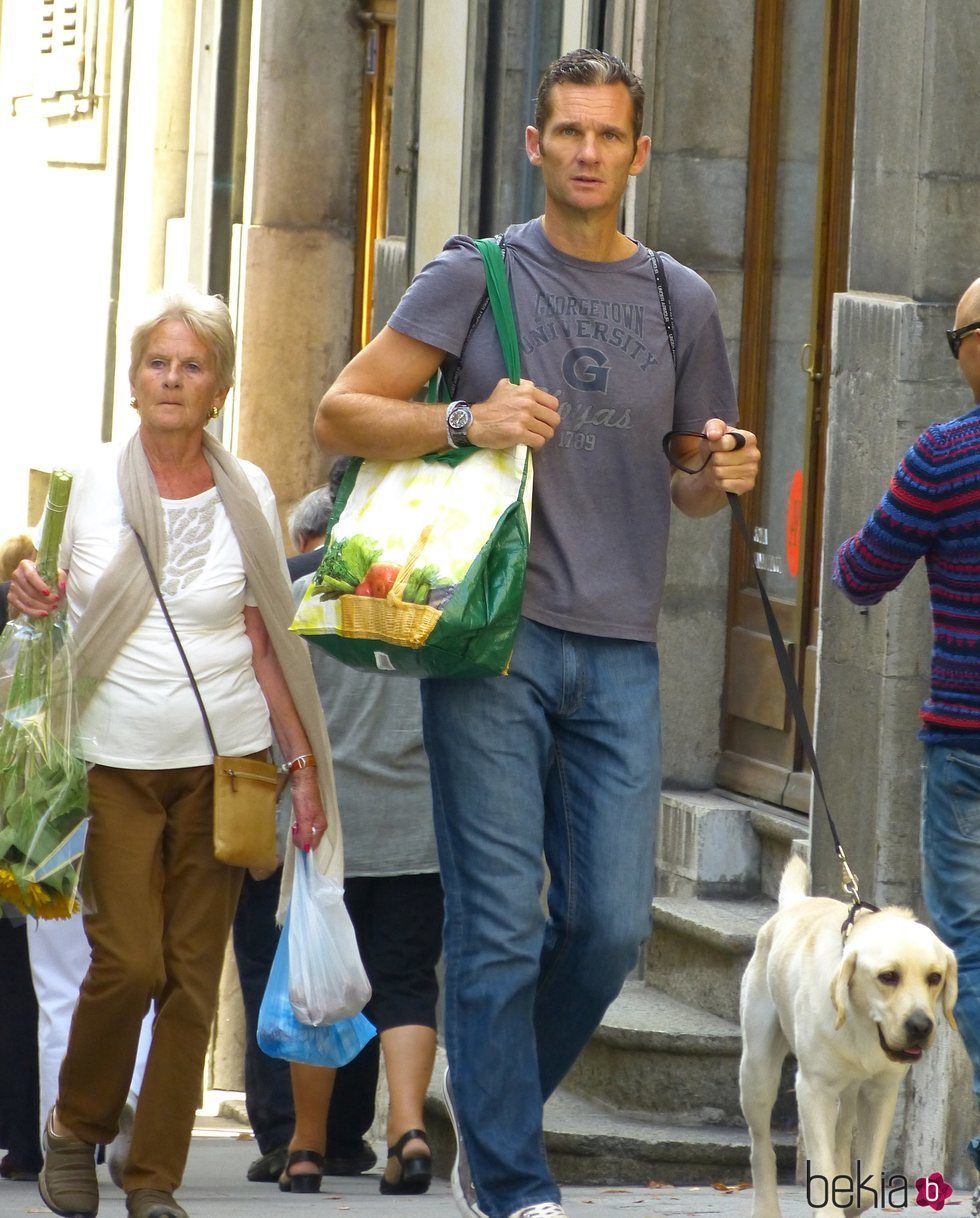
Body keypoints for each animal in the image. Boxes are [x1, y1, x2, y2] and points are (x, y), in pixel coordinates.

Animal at [740, 857, 954, 1218]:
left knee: (841, 1136)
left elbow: (869, 1182)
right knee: (761, 1148)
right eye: (888, 976)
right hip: (757, 1073)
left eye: (935, 977)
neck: (860, 1023)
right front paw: (830, 1209)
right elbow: (822, 1163)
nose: (921, 1026)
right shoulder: (813, 1090)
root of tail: (796, 903)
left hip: (850, 1092)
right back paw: (766, 1208)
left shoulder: (881, 1092)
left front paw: (851, 1200)